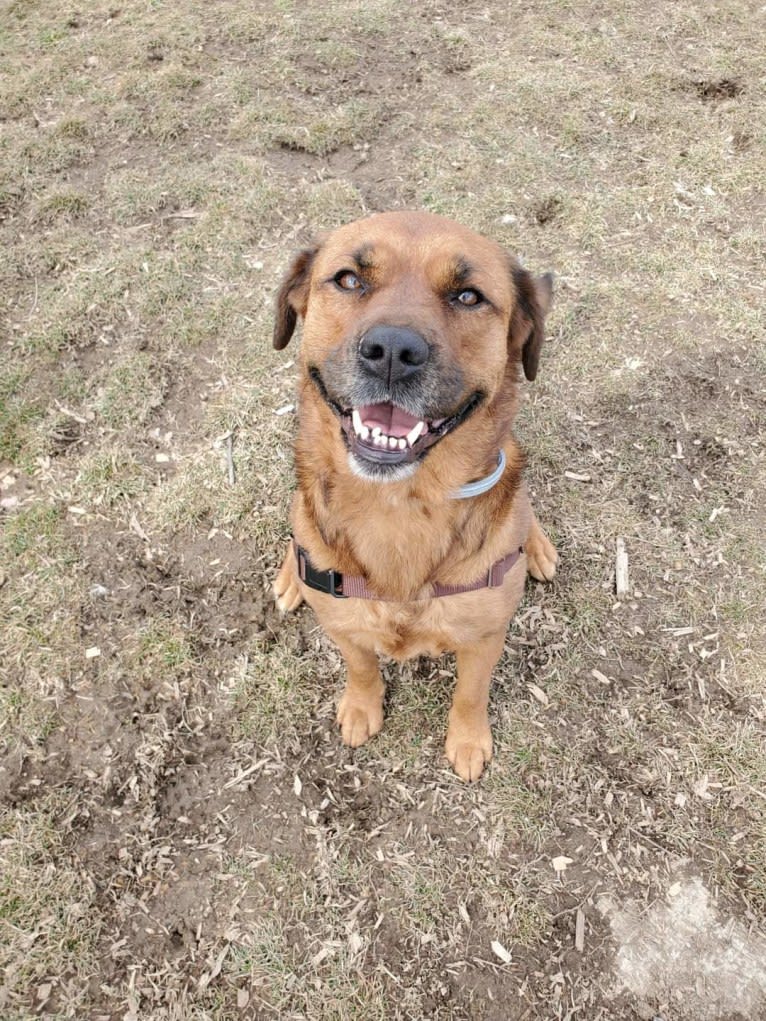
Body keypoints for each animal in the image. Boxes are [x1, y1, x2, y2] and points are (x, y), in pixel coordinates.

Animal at [271, 209, 559, 780]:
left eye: (468, 296)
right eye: (348, 280)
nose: (391, 353)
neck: (400, 505)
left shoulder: (484, 637)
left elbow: (471, 692)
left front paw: (467, 741)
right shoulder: (343, 625)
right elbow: (361, 665)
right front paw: (362, 707)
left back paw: (537, 548)